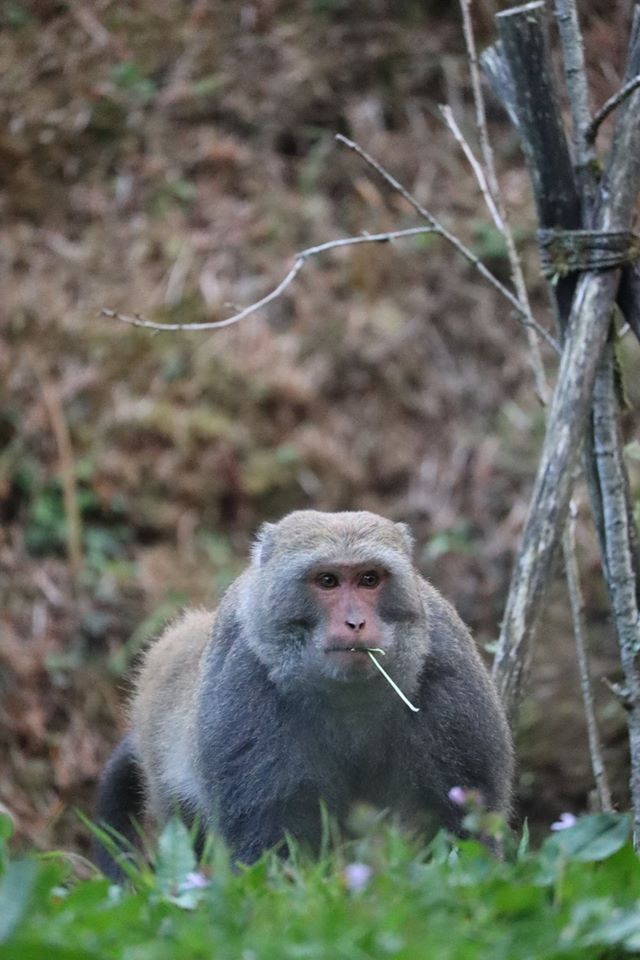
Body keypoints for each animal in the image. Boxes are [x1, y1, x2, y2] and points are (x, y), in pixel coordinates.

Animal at [95, 510, 513, 878]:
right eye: (327, 581)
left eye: (369, 579)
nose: (356, 622)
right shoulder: (243, 684)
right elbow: (268, 843)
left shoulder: (449, 671)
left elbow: (455, 825)